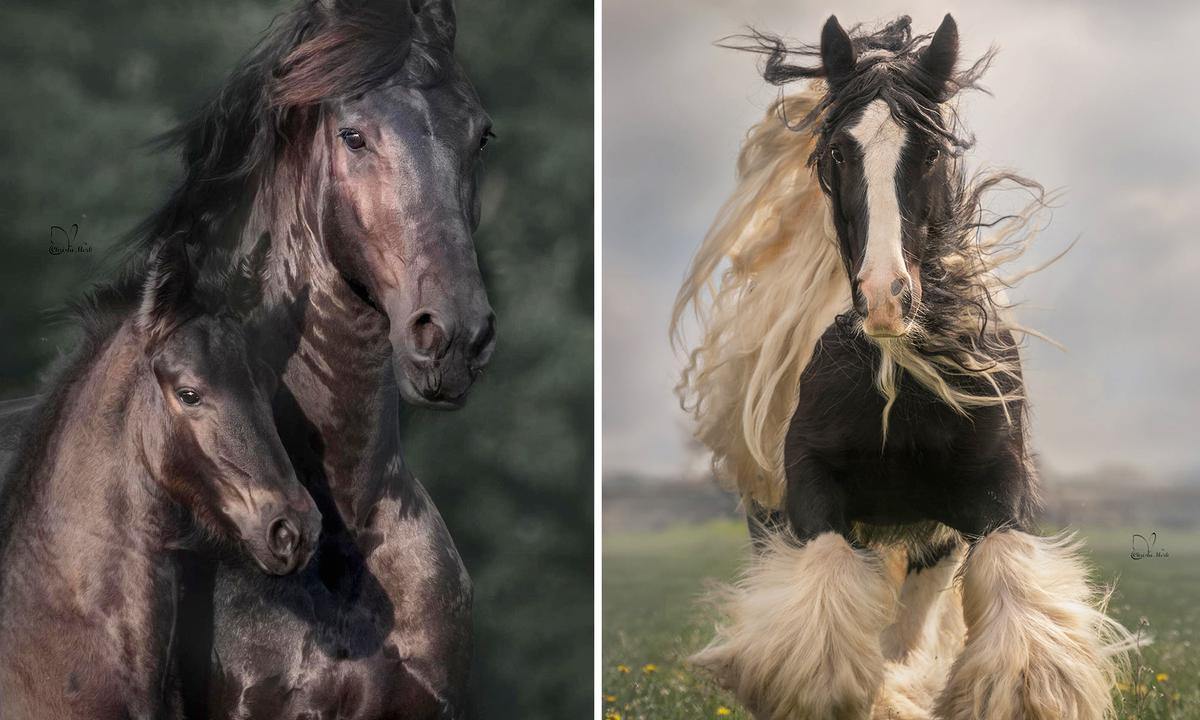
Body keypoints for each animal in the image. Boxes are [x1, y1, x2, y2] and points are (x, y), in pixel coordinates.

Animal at [673, 15, 1134, 720]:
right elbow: (823, 627)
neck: (903, 378)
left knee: (911, 623)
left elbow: (1013, 619)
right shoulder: (810, 484)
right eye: (839, 153)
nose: (887, 297)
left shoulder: (994, 490)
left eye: (932, 152)